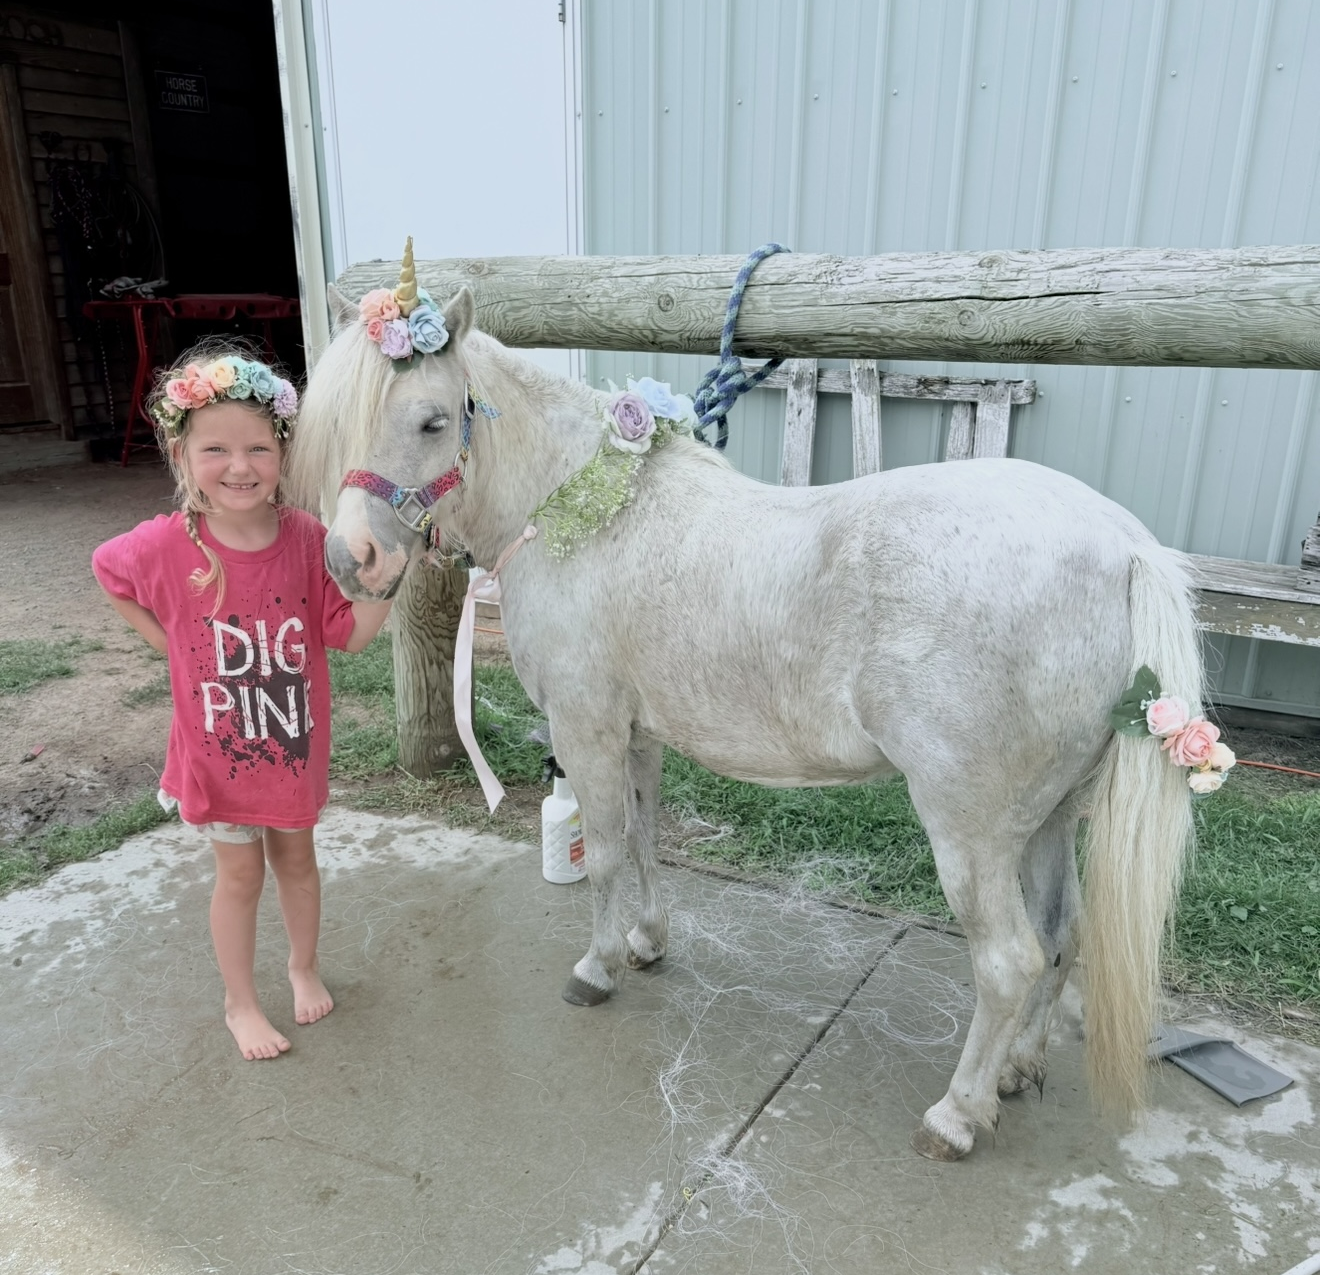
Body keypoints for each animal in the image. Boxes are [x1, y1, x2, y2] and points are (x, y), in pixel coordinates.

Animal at [287, 279, 1203, 1161]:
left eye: (433, 419)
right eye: (343, 423)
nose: (351, 560)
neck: (589, 513)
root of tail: (1125, 548)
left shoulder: (587, 730)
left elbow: (607, 852)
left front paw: (597, 966)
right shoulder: (637, 736)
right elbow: (646, 840)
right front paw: (646, 941)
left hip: (972, 828)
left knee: (1009, 958)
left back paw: (957, 1115)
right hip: (1048, 816)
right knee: (1060, 936)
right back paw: (1015, 1069)